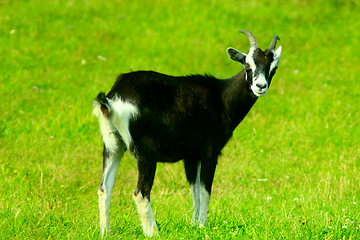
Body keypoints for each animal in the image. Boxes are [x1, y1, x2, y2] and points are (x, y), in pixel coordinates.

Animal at [92, 29, 282, 236]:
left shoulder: (191, 156)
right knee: (141, 192)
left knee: (104, 188)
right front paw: (202, 226)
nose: (260, 86)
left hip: (113, 145)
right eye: (248, 64)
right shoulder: (210, 152)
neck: (221, 98)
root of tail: (113, 98)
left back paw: (106, 232)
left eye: (273, 68)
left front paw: (193, 225)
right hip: (145, 152)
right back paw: (153, 232)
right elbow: (205, 190)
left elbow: (195, 190)